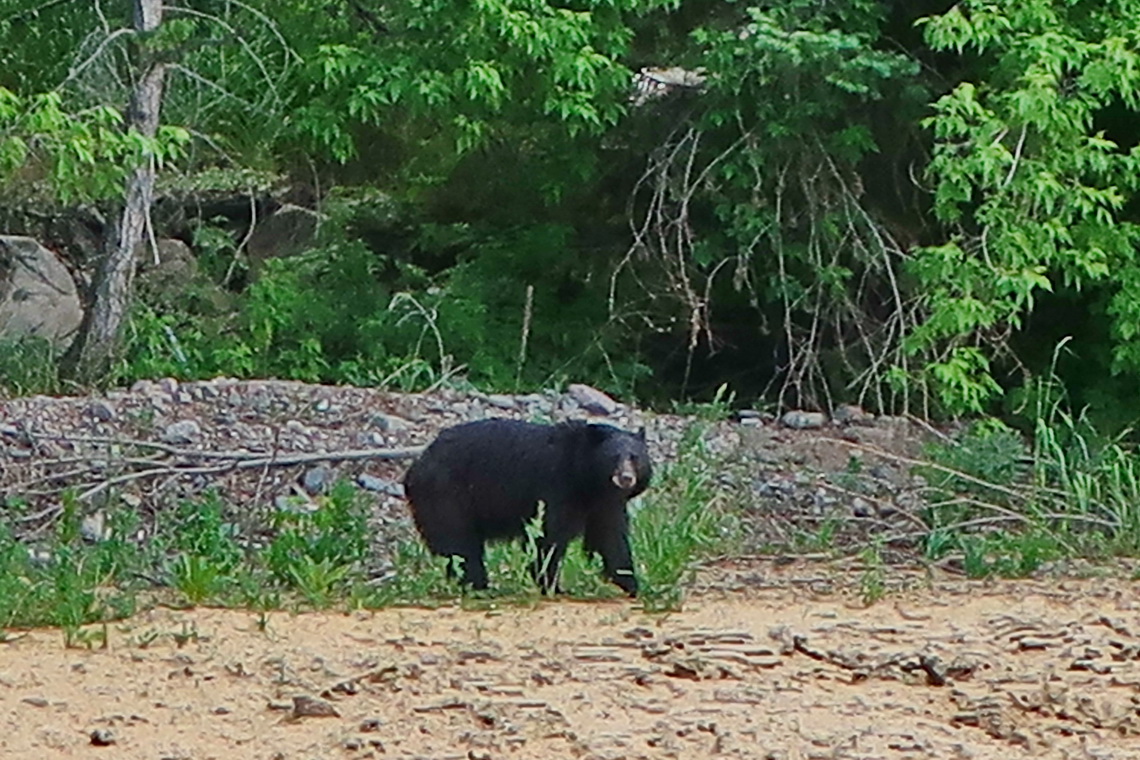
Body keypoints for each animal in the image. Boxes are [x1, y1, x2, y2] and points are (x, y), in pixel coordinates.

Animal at [403, 419, 656, 597]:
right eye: (614, 456)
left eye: (635, 457)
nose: (626, 478)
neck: (587, 478)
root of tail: (417, 466)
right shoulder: (557, 486)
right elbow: (549, 535)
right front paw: (551, 584)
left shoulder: (605, 503)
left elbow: (612, 538)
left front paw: (631, 584)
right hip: (447, 495)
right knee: (460, 544)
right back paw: (478, 585)